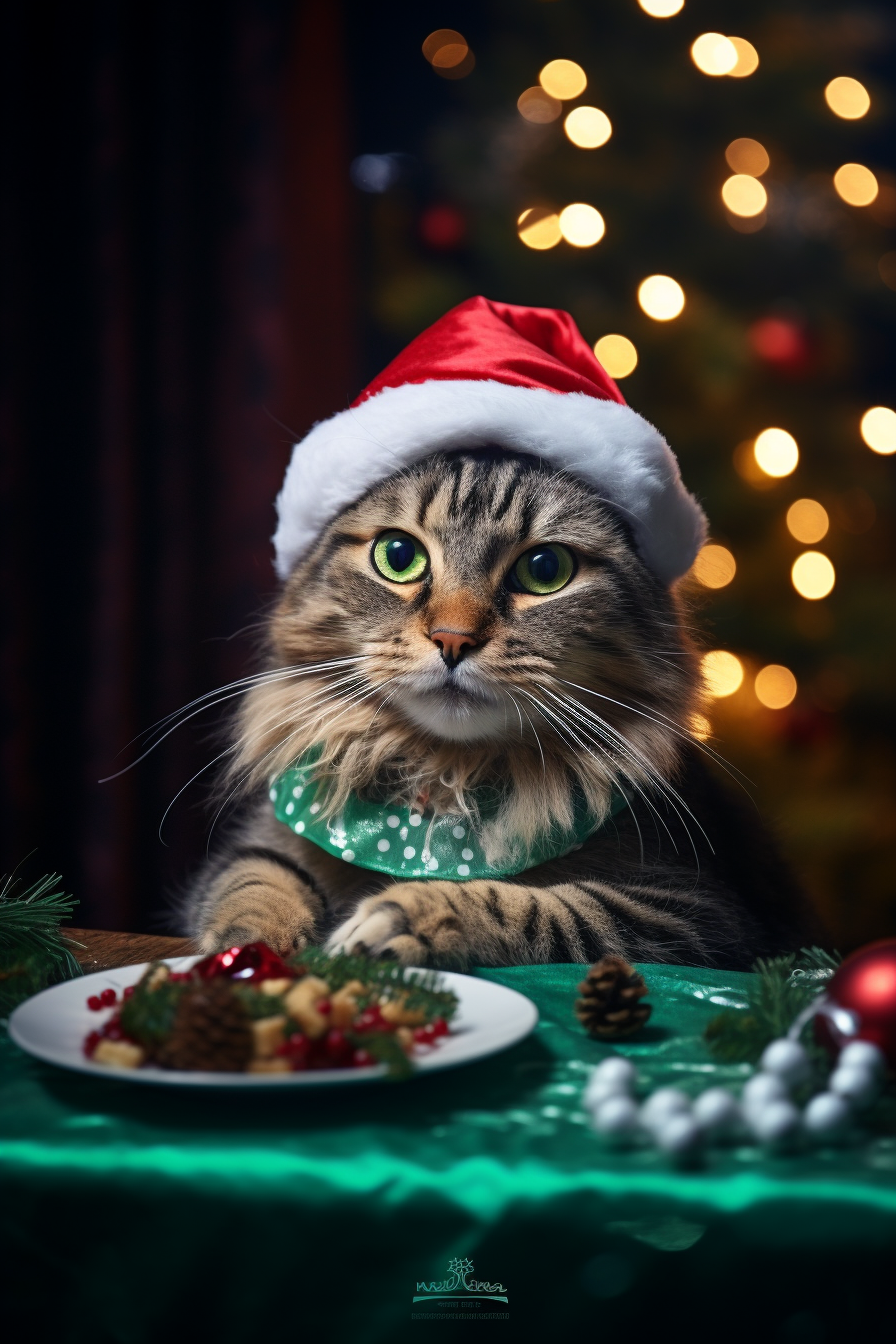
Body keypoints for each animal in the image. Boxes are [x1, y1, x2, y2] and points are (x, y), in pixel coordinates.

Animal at [184, 448, 811, 967]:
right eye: (398, 556)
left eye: (545, 570)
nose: (452, 639)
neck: (445, 773)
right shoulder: (260, 842)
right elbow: (254, 884)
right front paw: (250, 952)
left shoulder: (698, 912)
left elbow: (544, 909)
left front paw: (410, 918)